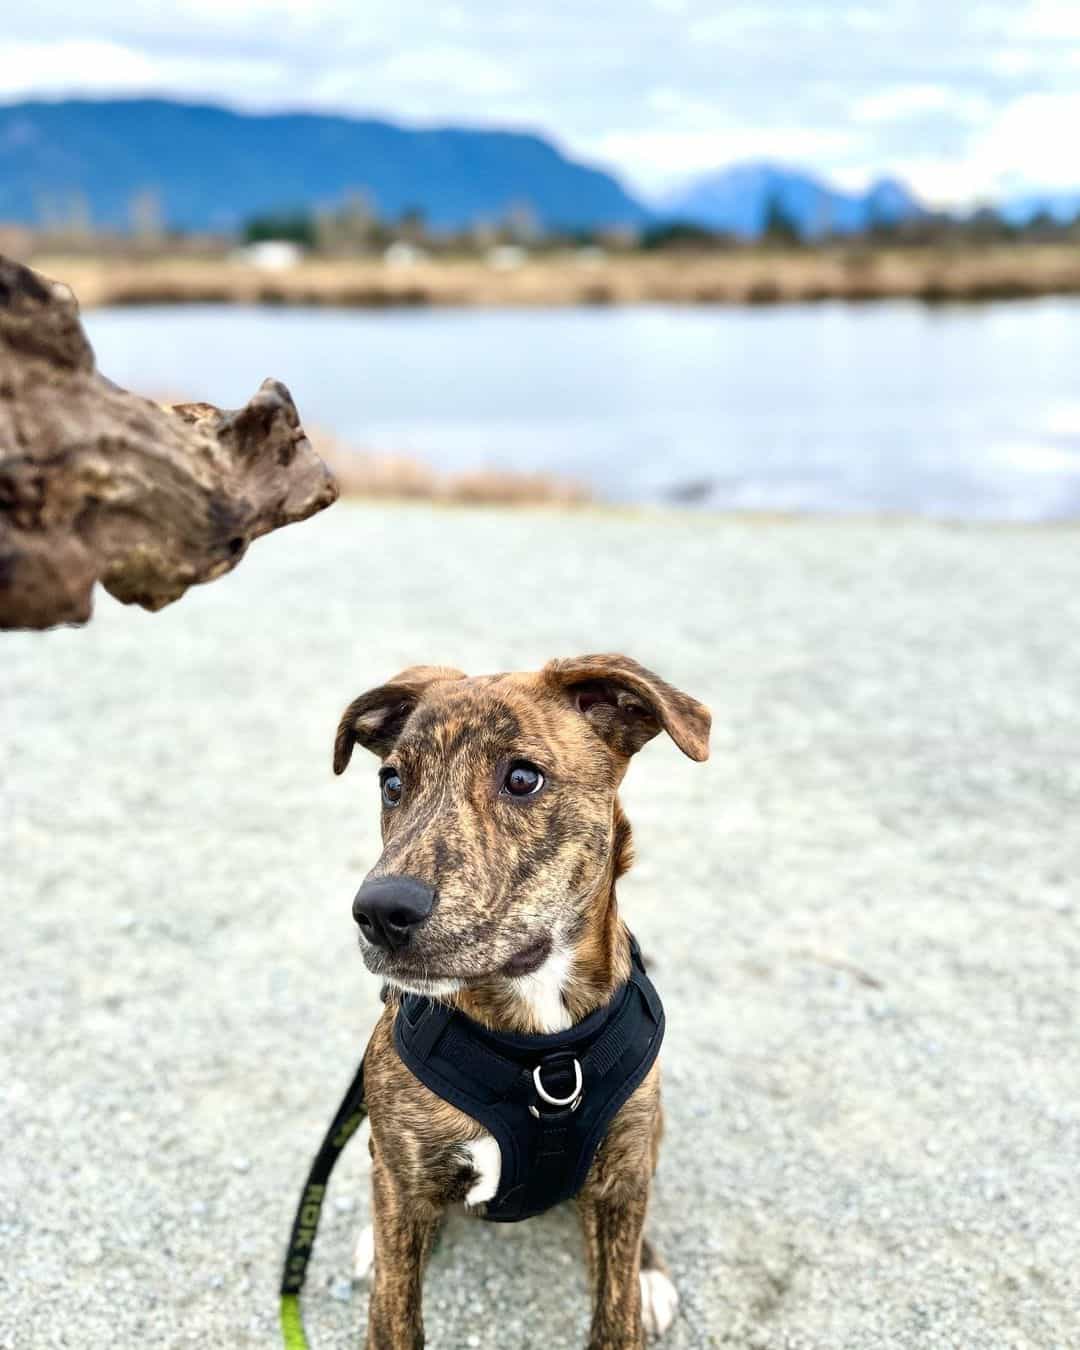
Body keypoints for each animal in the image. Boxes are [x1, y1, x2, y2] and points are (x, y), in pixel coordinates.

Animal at [333, 656, 712, 1350]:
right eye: (391, 784)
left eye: (522, 778)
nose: (378, 912)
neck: (540, 1042)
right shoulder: (401, 1178)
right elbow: (394, 1312)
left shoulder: (622, 1179)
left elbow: (615, 1308)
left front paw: (633, 1283)